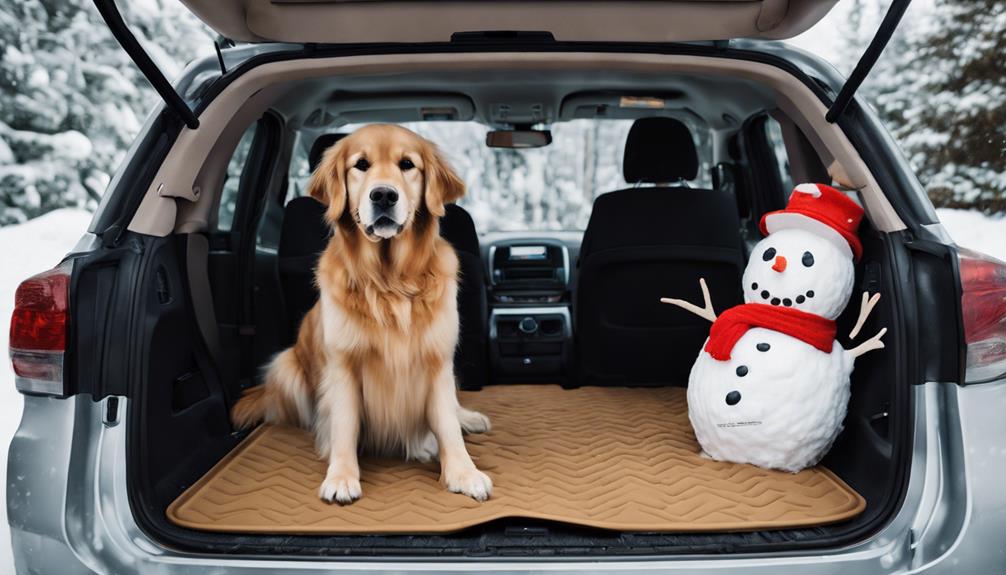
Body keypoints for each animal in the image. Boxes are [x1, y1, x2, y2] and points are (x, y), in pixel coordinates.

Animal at [231, 124, 490, 502]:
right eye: (361, 165)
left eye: (407, 164)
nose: (383, 195)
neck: (390, 281)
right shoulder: (343, 366)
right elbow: (344, 425)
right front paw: (341, 476)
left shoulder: (436, 360)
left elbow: (446, 423)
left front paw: (464, 472)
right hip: (286, 365)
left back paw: (468, 419)